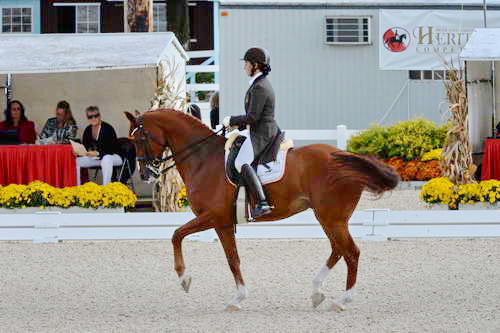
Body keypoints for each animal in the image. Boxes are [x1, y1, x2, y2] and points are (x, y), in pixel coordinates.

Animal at [125, 109, 398, 312]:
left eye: (140, 139)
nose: (145, 174)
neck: (203, 158)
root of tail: (343, 154)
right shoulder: (223, 223)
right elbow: (232, 259)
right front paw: (238, 298)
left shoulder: (213, 216)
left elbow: (177, 235)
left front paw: (185, 279)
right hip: (329, 218)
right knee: (338, 250)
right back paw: (316, 292)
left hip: (332, 218)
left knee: (351, 252)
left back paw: (342, 301)